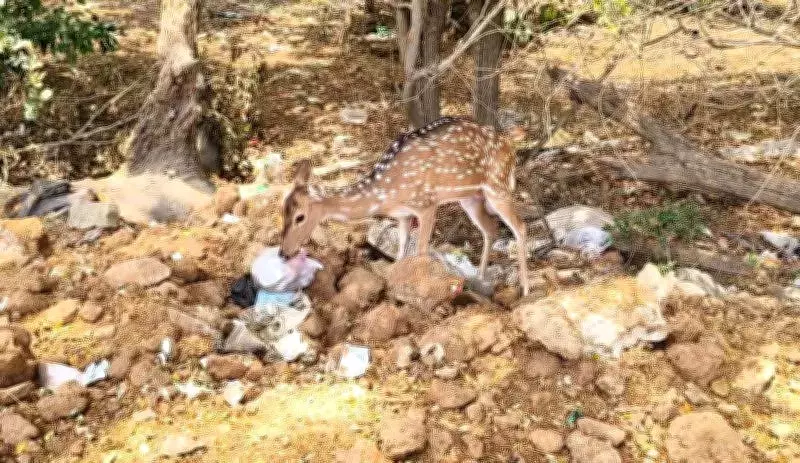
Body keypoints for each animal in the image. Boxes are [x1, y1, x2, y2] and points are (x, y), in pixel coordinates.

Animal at [279, 116, 534, 296]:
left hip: (498, 186)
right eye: (282, 211)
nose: (283, 253)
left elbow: (420, 252)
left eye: (300, 217)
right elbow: (400, 254)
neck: (386, 193)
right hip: (471, 197)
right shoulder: (401, 215)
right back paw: (480, 280)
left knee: (520, 227)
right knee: (491, 229)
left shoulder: (426, 204)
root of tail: (509, 141)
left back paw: (526, 288)